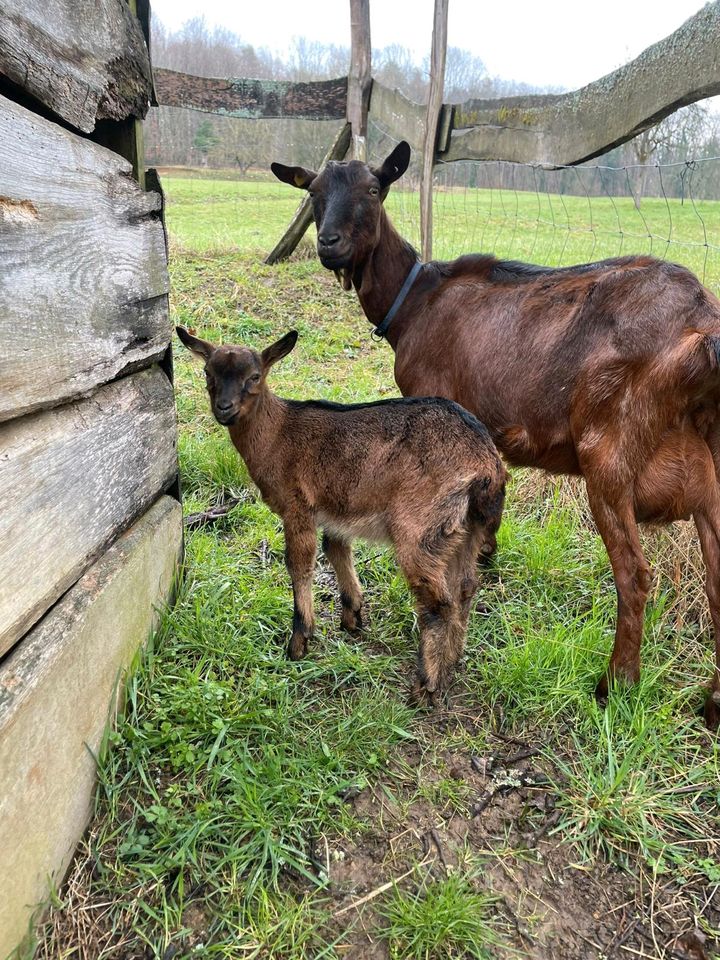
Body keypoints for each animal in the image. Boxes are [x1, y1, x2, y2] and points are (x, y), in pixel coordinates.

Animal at [274, 142, 720, 728]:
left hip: (610, 452)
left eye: (373, 189)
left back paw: (614, 687)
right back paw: (712, 706)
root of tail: (703, 327)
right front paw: (485, 557)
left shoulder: (437, 404)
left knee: (634, 576)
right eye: (313, 193)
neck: (415, 301)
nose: (330, 243)